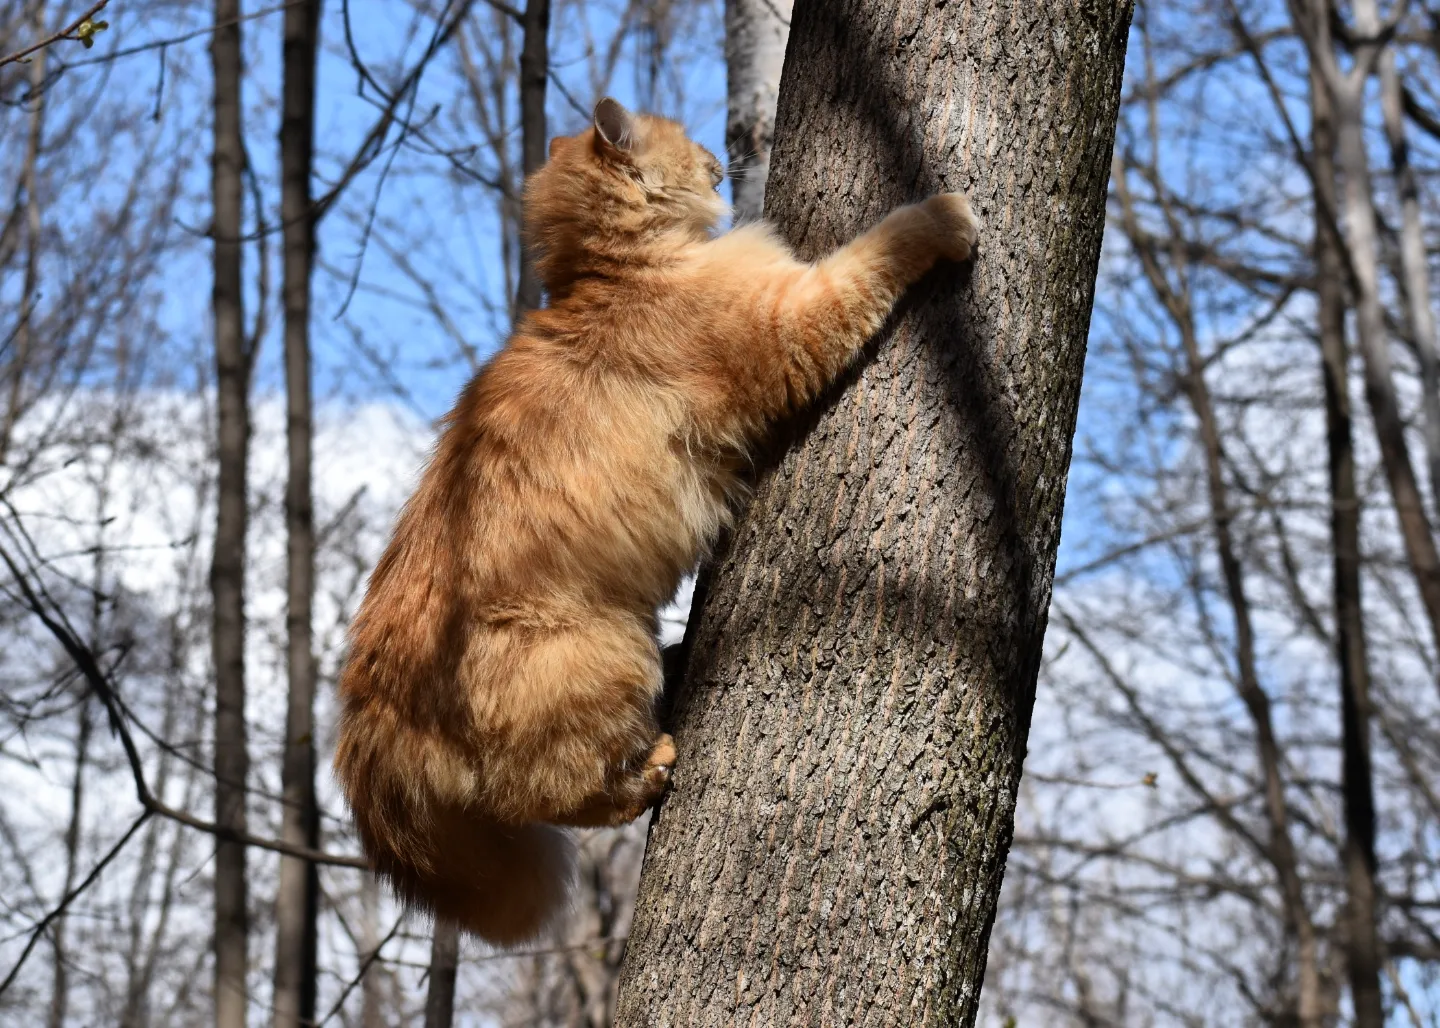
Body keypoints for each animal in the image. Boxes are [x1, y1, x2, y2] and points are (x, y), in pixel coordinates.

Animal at [331, 97, 973, 944]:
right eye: (681, 132)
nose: (716, 154)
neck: (618, 274)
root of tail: (371, 706)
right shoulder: (790, 321)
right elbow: (877, 250)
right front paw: (944, 216)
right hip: (602, 655)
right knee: (560, 794)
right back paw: (653, 766)